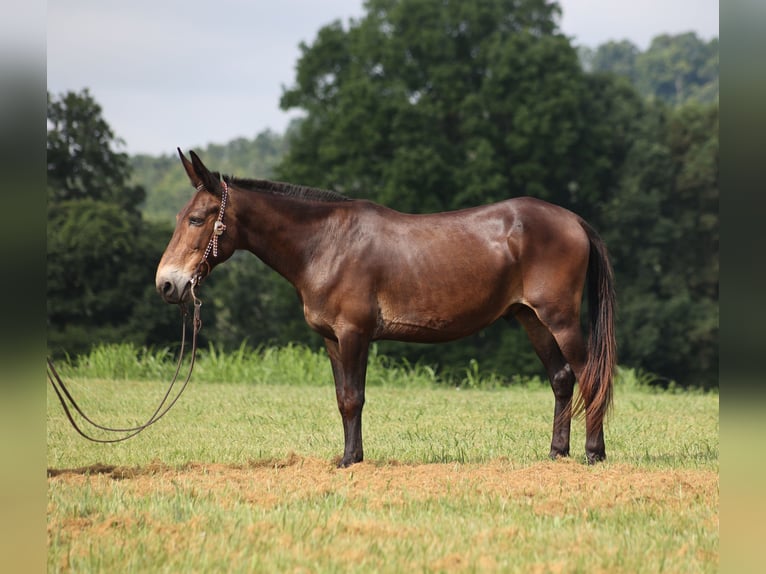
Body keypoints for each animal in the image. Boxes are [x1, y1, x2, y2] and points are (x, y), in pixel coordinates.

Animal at [156, 149, 616, 467]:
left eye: (197, 219)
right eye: (178, 216)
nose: (167, 284)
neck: (325, 244)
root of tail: (574, 220)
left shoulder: (354, 334)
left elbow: (353, 398)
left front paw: (350, 460)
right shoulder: (332, 340)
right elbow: (342, 397)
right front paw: (350, 456)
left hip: (559, 318)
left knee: (590, 375)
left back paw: (594, 452)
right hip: (530, 318)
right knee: (561, 378)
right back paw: (557, 452)